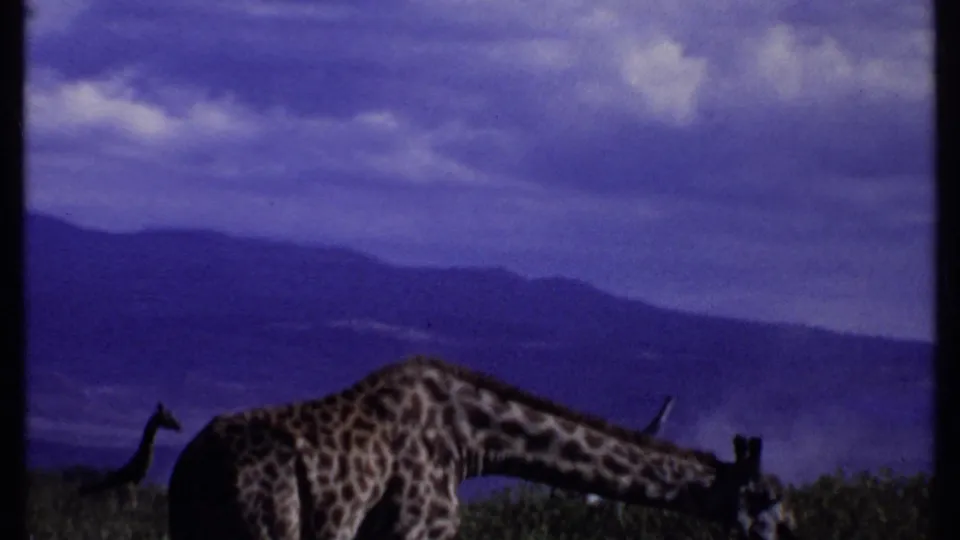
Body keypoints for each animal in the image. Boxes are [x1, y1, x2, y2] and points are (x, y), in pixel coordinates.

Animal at [167, 356, 799, 540]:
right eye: (768, 504)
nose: (796, 531)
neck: (472, 440)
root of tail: (190, 470)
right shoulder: (421, 530)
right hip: (269, 528)